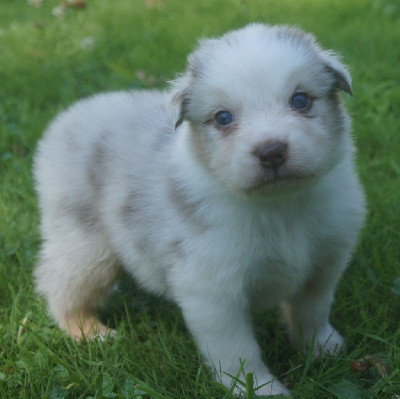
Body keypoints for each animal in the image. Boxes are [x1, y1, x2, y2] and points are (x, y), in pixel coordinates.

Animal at [34, 24, 366, 396]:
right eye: (223, 118)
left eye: (300, 100)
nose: (271, 152)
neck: (279, 207)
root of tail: (71, 115)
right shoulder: (212, 291)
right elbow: (238, 351)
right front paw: (260, 388)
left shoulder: (323, 263)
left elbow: (312, 311)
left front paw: (322, 348)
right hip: (86, 245)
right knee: (58, 283)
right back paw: (88, 331)